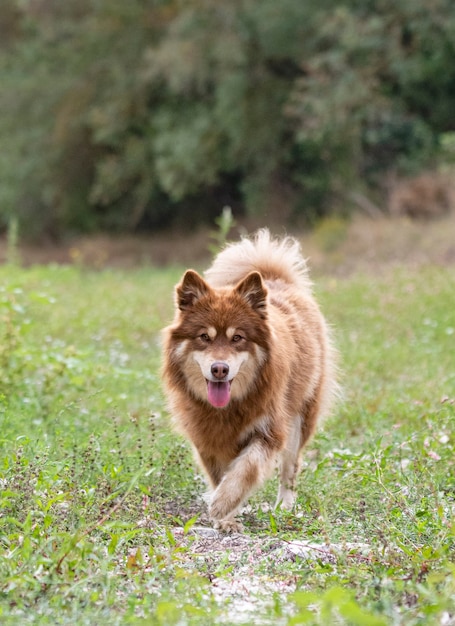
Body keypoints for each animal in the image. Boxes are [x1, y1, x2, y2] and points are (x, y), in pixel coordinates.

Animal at [162, 227, 336, 528]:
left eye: (238, 338)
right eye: (204, 337)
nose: (219, 369)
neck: (229, 408)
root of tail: (274, 277)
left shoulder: (270, 430)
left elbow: (246, 469)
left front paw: (222, 504)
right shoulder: (206, 437)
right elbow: (220, 476)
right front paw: (227, 517)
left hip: (300, 418)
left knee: (290, 468)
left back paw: (285, 506)